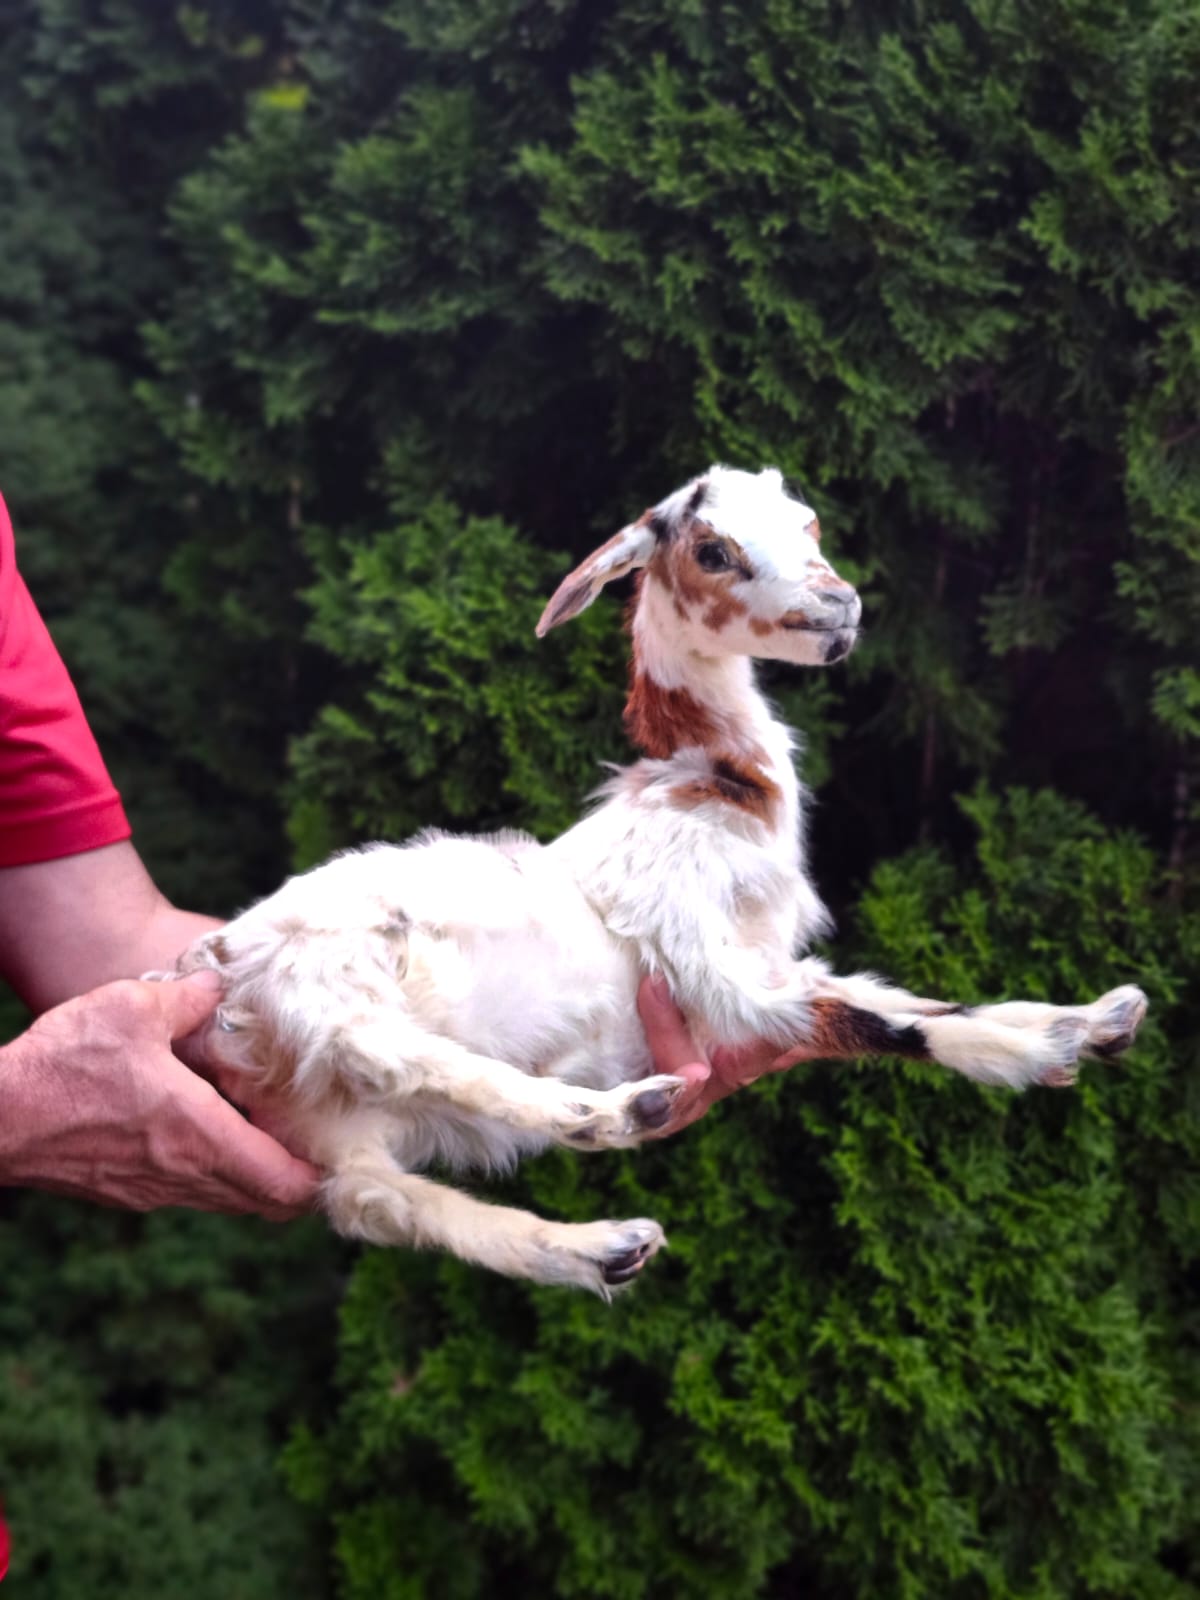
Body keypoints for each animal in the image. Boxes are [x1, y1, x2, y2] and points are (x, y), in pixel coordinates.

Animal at [171, 466, 1147, 1295]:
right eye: (713, 551)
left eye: (807, 521)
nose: (838, 606)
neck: (713, 786)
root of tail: (217, 990)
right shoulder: (708, 966)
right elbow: (873, 1021)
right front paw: (1039, 1054)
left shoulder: (772, 959)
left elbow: (910, 999)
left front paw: (1095, 1020)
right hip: (334, 995)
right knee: (415, 1065)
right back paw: (621, 1113)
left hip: (332, 1125)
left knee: (380, 1200)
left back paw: (604, 1248)